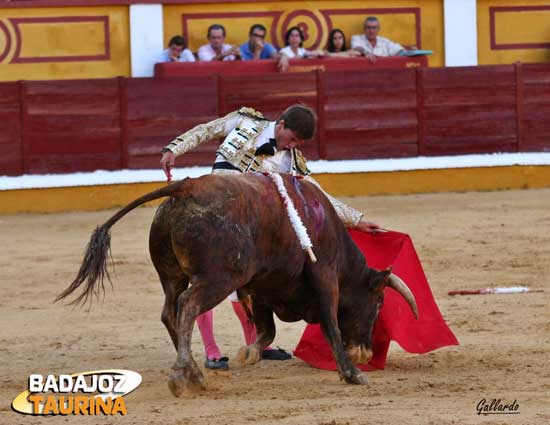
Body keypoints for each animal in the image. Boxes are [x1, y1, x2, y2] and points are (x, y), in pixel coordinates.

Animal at [58, 171, 418, 394]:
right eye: (379, 303)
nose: (365, 353)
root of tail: (186, 188)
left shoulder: (262, 288)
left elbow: (266, 329)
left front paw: (250, 354)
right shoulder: (325, 279)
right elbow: (330, 325)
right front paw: (352, 374)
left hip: (172, 275)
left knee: (171, 312)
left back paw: (194, 373)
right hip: (217, 278)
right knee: (188, 306)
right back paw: (183, 375)